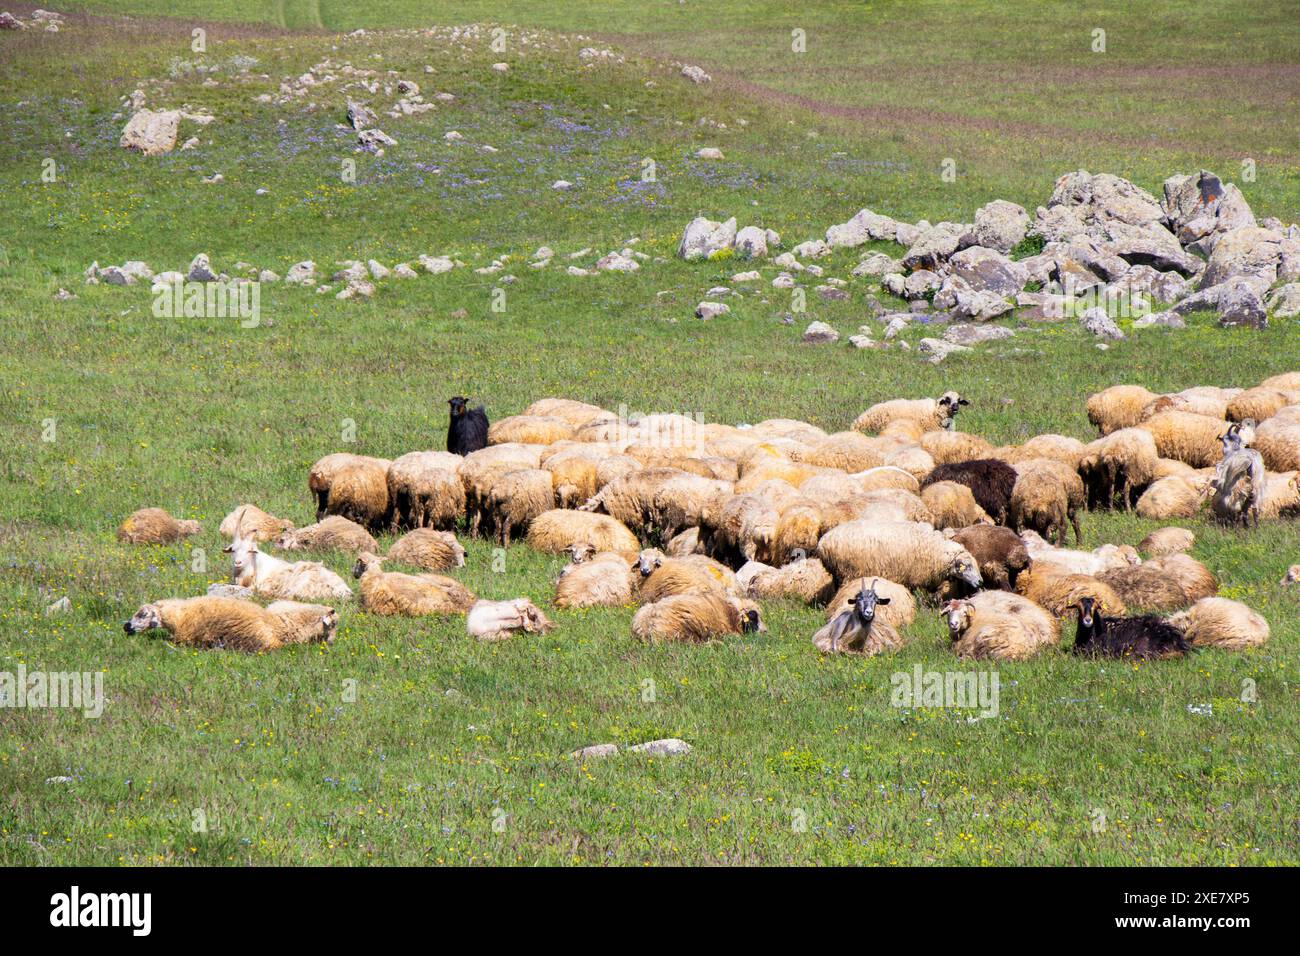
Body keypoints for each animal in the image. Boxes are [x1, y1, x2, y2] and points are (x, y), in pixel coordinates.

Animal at [817, 519, 983, 593]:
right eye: (967, 566)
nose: (981, 582)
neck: (935, 549)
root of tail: (823, 543)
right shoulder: (917, 576)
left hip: (838, 573)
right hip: (847, 571)